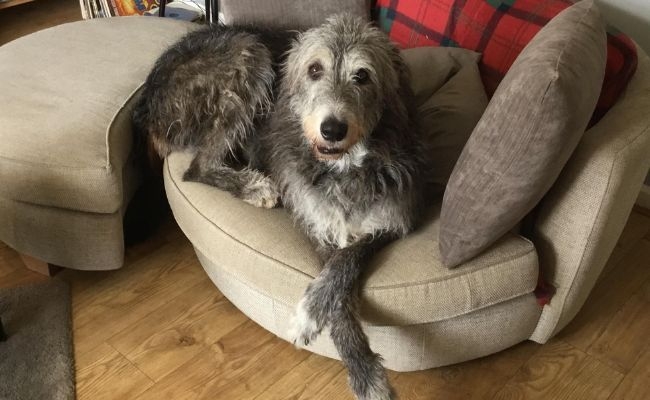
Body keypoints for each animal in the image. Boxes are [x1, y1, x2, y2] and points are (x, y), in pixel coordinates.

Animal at [133, 15, 426, 400]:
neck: (344, 167)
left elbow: (345, 265)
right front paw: (360, 368)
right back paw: (254, 186)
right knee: (197, 168)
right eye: (314, 69)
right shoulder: (316, 222)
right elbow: (338, 295)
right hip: (247, 56)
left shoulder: (393, 218)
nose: (332, 129)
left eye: (363, 75)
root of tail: (147, 100)